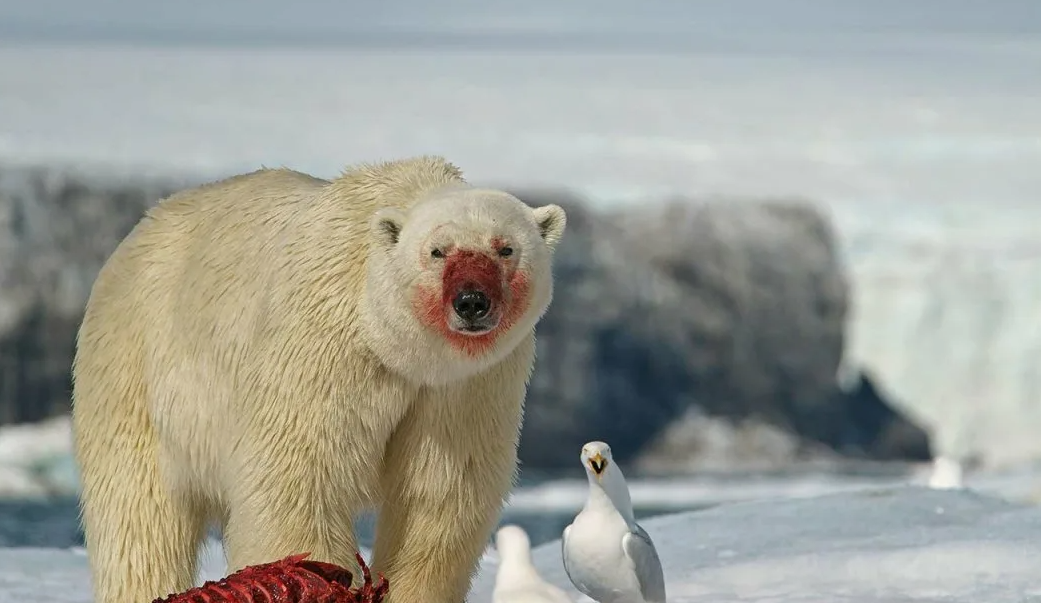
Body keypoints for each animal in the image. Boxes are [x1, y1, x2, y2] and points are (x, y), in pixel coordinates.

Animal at [71, 156, 570, 603]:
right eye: (437, 251)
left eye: (505, 248)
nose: (471, 301)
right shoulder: (322, 341)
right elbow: (299, 474)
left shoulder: (468, 386)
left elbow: (439, 493)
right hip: (135, 369)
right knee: (138, 516)